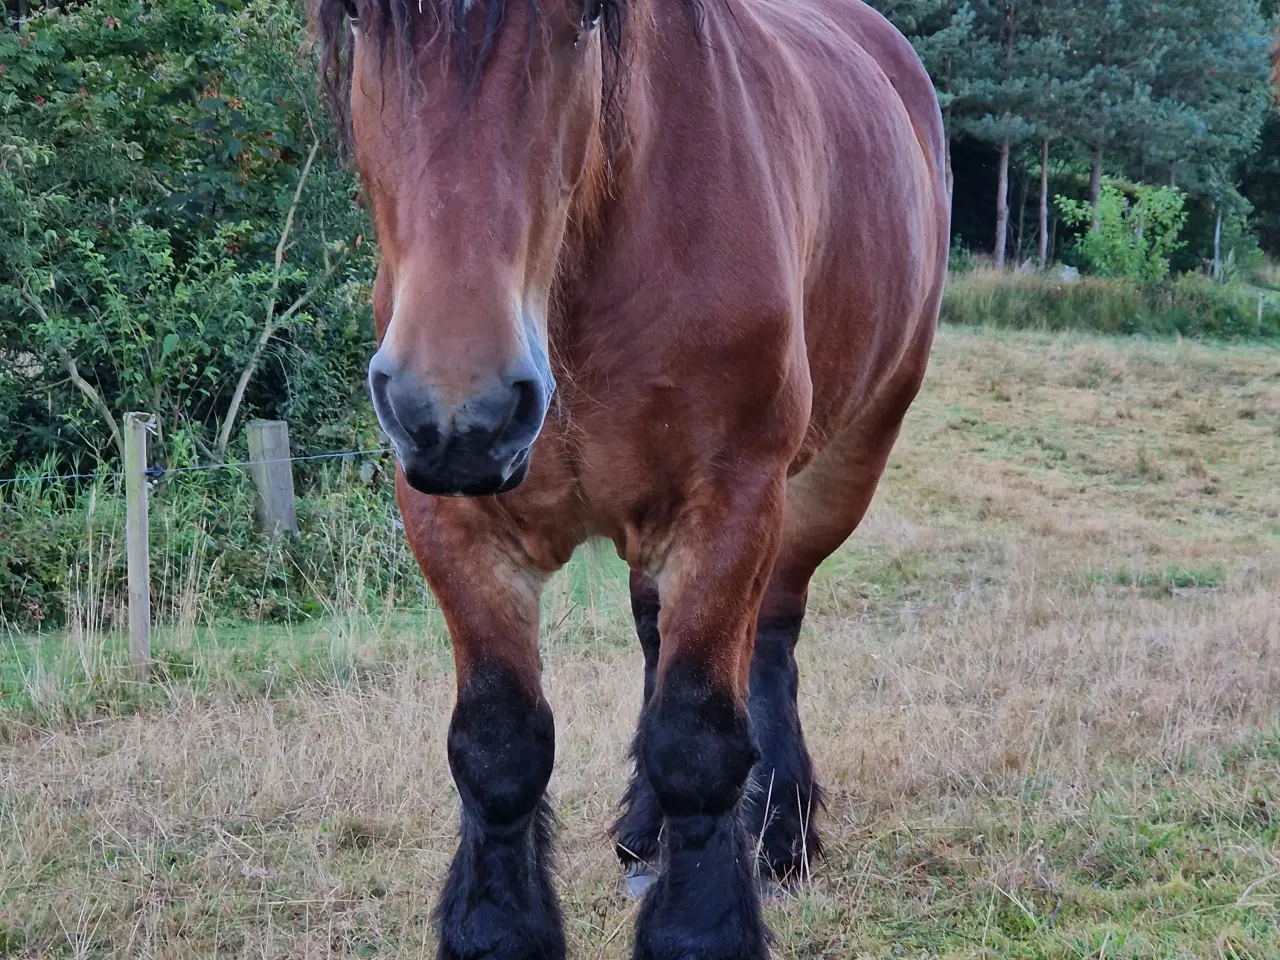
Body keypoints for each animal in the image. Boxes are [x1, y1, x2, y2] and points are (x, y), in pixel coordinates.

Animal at [313, 0, 947, 957]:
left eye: (582, 20)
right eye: (359, 18)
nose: (463, 408)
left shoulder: (731, 501)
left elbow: (698, 739)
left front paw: (702, 928)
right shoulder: (451, 520)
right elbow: (498, 745)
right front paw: (497, 929)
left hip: (840, 469)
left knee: (772, 637)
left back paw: (778, 835)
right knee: (657, 639)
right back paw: (649, 835)